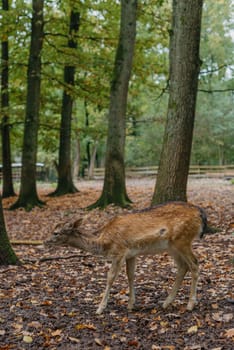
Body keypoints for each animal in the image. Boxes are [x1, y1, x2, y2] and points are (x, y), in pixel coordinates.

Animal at [44, 202, 207, 314]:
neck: (104, 241)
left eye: (56, 232)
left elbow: (110, 277)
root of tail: (200, 214)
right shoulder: (131, 254)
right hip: (172, 246)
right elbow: (131, 275)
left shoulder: (119, 251)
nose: (45, 241)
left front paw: (100, 308)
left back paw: (190, 304)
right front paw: (130, 304)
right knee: (182, 266)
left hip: (182, 240)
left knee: (194, 264)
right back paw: (166, 302)